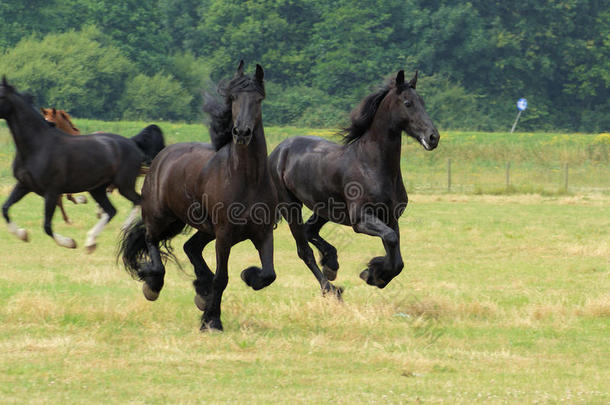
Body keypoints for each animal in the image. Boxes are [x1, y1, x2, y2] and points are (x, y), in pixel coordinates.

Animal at [0, 77, 164, 251]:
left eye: (1, 96)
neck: (38, 146)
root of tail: (131, 141)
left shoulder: (52, 191)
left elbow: (47, 226)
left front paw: (69, 242)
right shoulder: (23, 185)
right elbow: (5, 209)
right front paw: (23, 234)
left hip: (123, 184)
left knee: (137, 201)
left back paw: (124, 228)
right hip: (97, 188)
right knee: (112, 210)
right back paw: (91, 241)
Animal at [270, 69, 436, 296]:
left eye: (423, 102)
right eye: (408, 103)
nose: (433, 137)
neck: (371, 165)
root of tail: (279, 151)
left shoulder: (391, 217)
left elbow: (397, 257)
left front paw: (374, 274)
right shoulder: (361, 220)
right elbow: (391, 239)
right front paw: (373, 273)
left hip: (323, 208)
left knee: (309, 231)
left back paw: (331, 264)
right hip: (291, 207)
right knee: (304, 250)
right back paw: (331, 289)